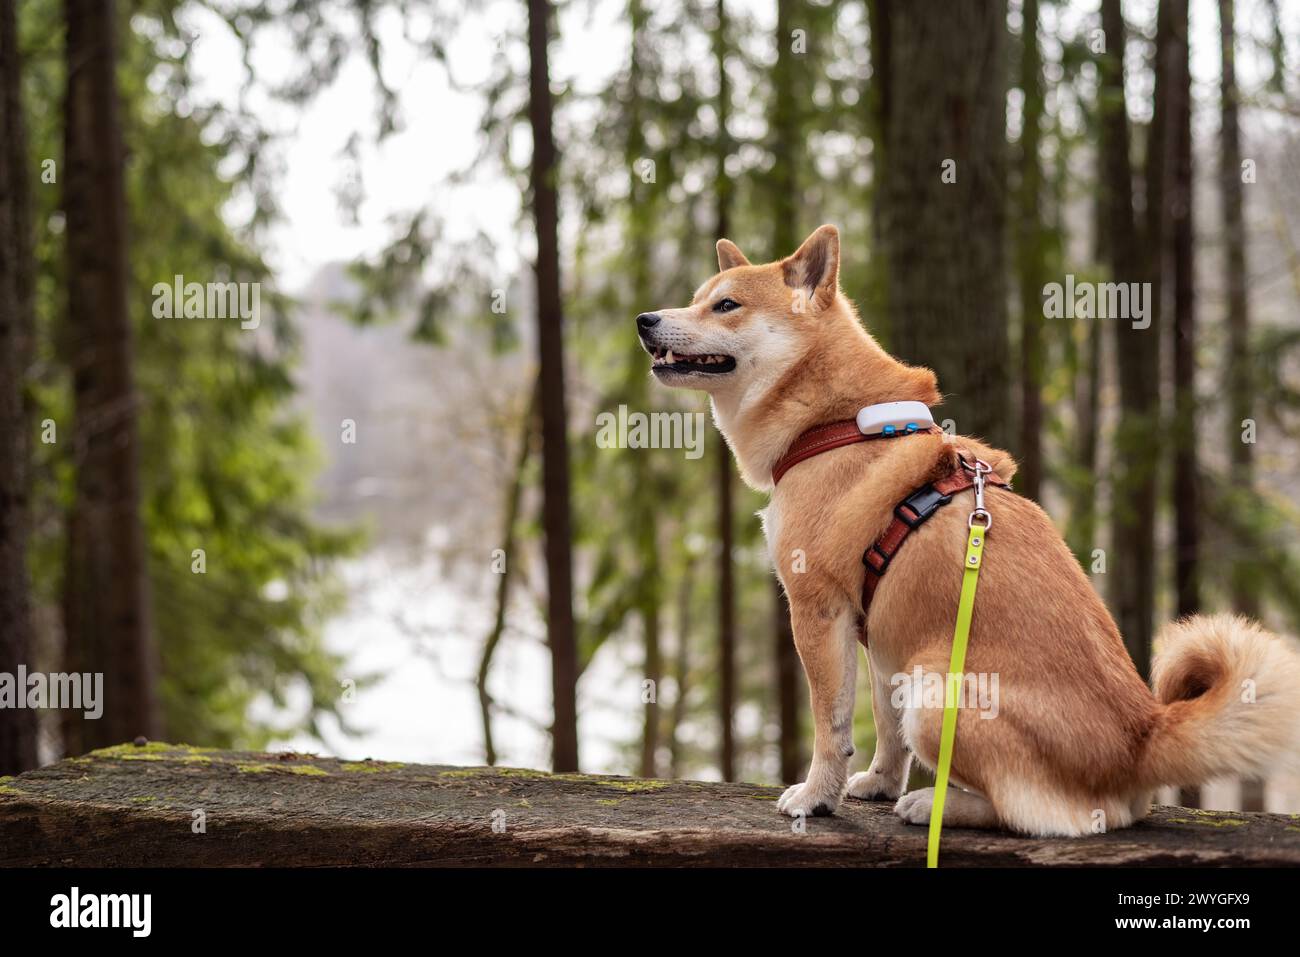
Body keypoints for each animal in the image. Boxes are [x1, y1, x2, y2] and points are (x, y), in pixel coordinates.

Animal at [637, 222, 1300, 832]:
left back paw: (937, 805)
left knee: (1035, 814)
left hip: (937, 690)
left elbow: (831, 726)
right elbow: (885, 730)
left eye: (726, 305)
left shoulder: (819, 610)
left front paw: (816, 797)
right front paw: (877, 782)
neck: (835, 422)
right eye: (698, 298)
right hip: (919, 672)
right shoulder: (879, 635)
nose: (645, 318)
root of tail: (1142, 737)